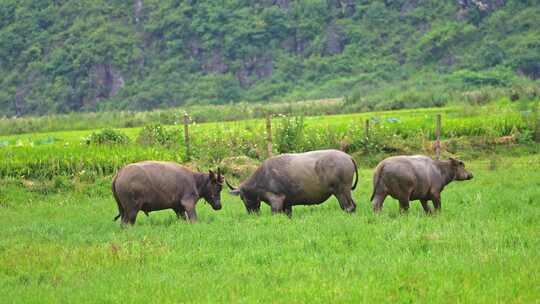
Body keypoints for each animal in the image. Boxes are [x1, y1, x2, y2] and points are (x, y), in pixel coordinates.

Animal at [228, 148, 358, 215]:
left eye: (242, 198)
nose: (251, 213)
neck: (263, 177)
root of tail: (348, 157)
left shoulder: (276, 200)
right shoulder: (287, 204)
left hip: (342, 191)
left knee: (349, 207)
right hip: (344, 192)